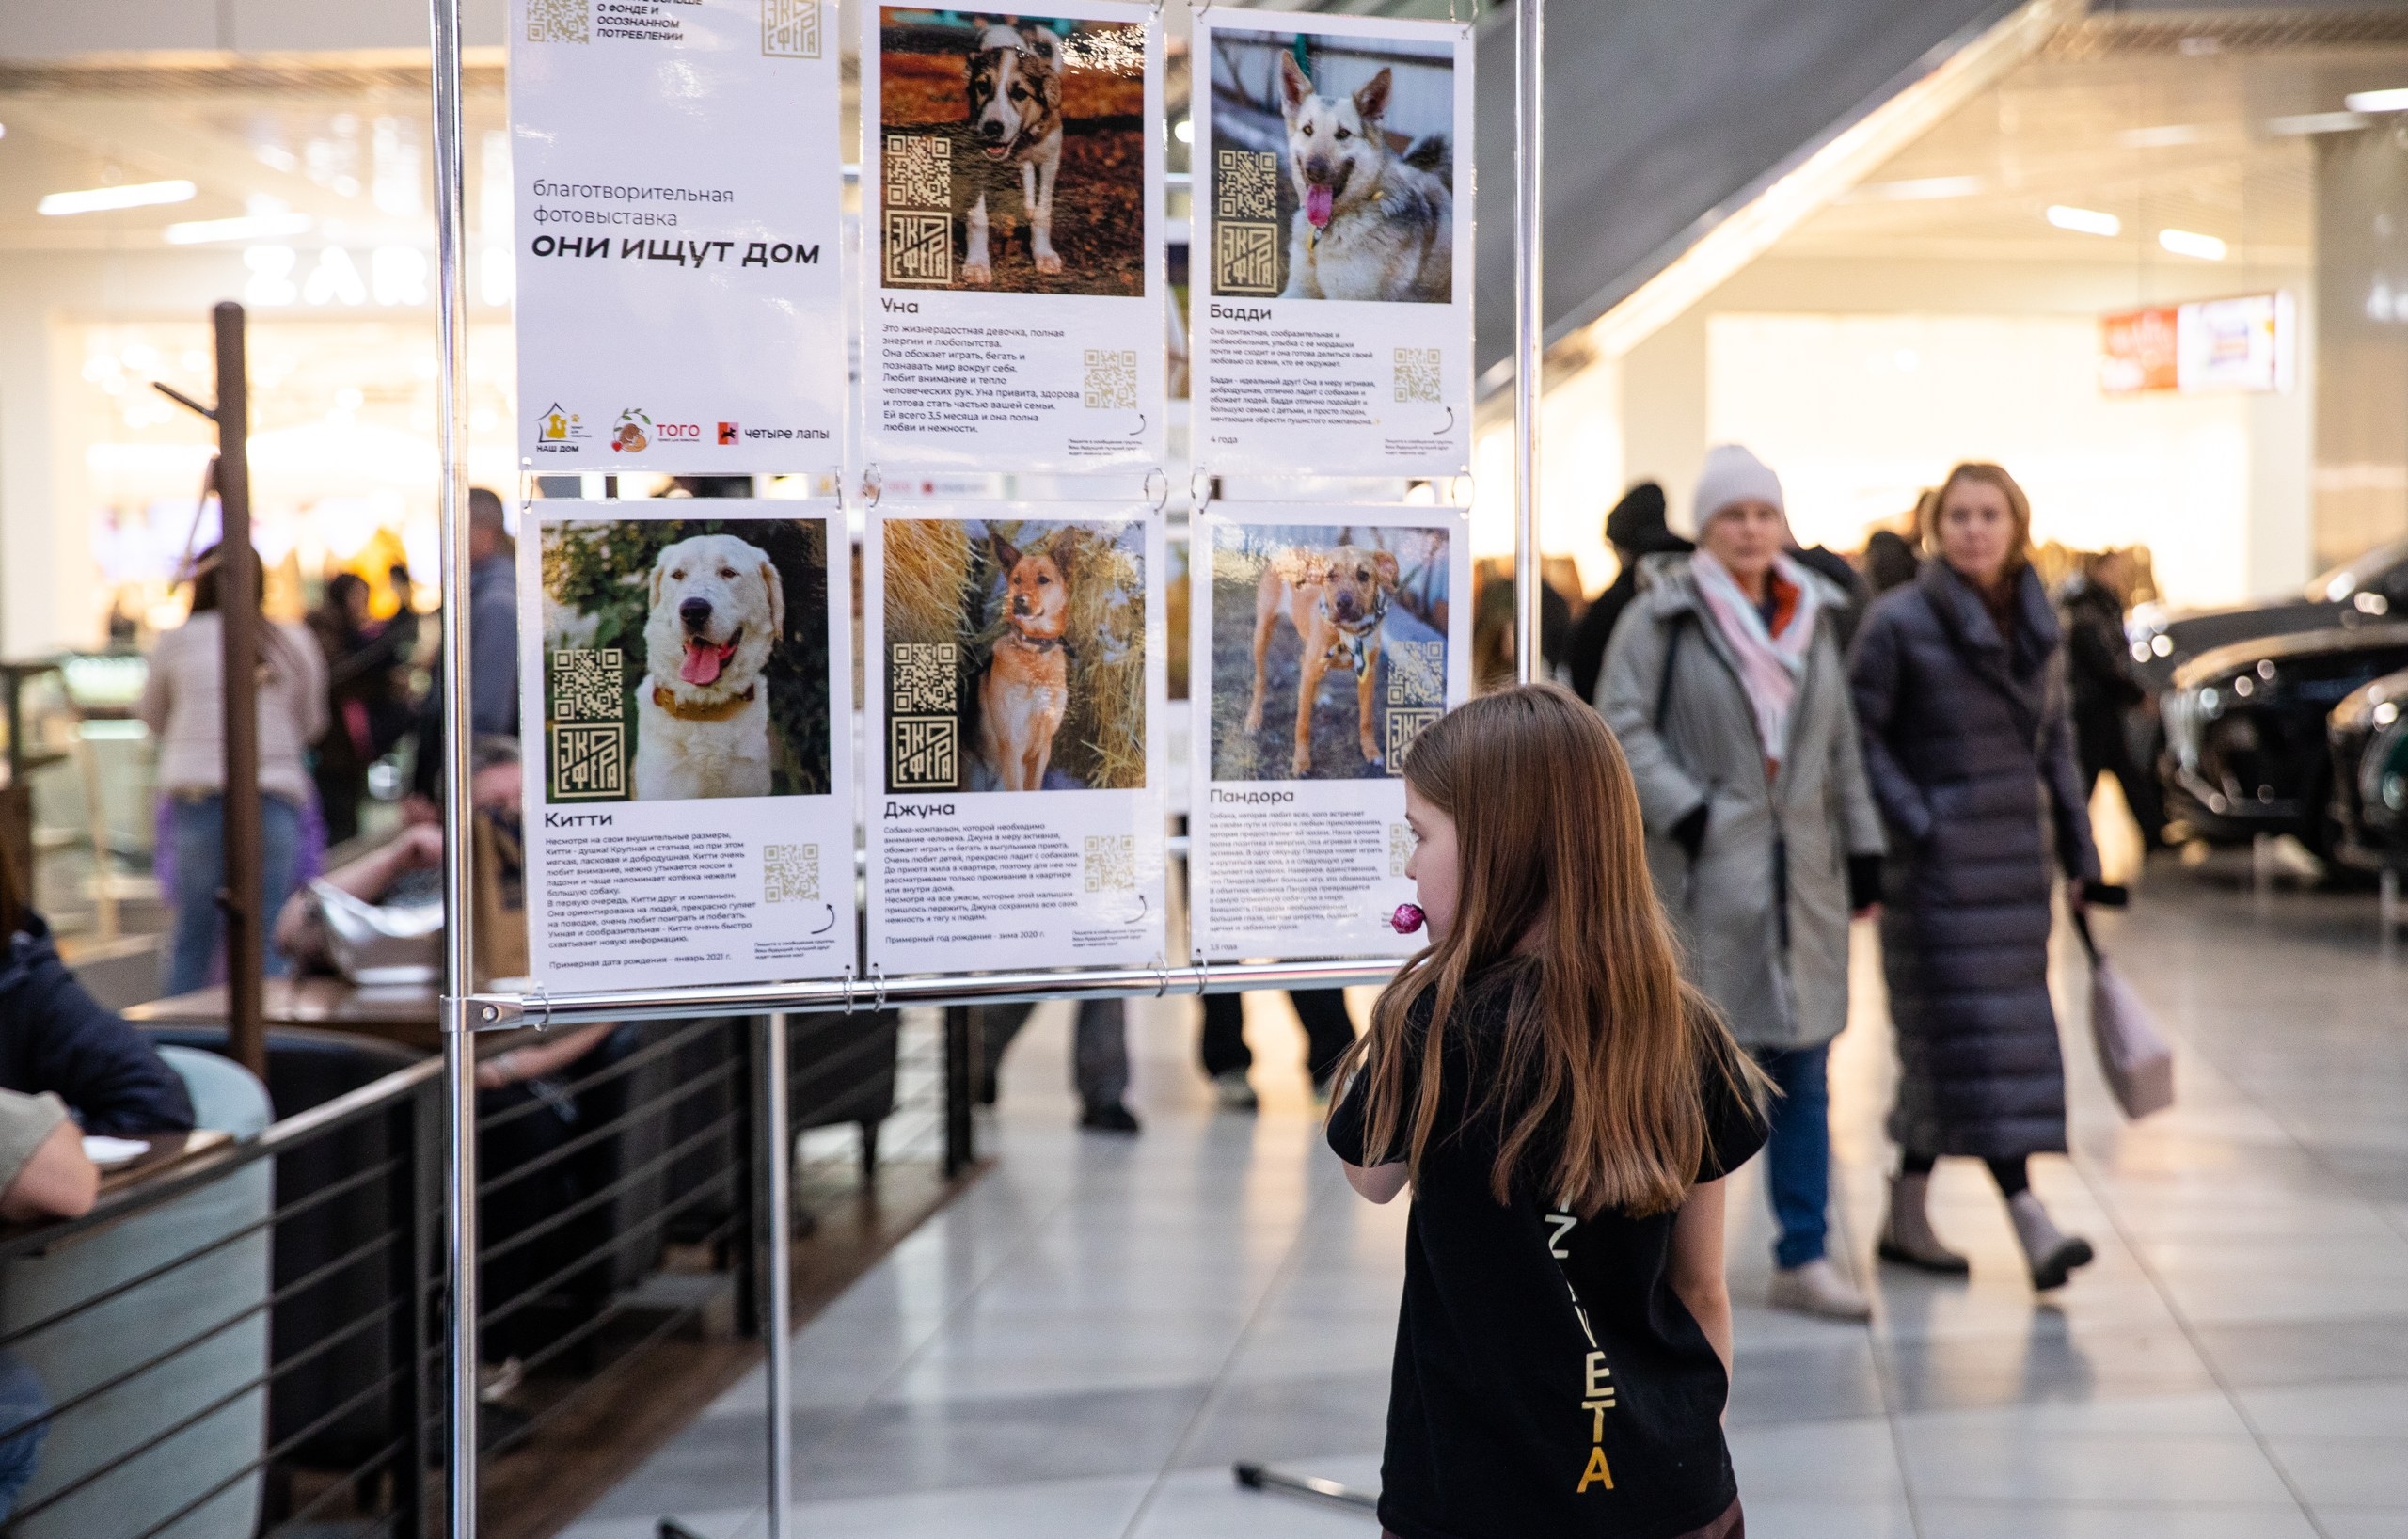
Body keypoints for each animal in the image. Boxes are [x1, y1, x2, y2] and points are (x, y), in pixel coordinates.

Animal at [962, 24, 1066, 285]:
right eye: (982, 86)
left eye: (1020, 94)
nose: (992, 128)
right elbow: (978, 217)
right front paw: (977, 264)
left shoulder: (1050, 158)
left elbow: (1043, 212)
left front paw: (1044, 255)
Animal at [977, 531, 1072, 792]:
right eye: (1017, 580)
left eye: (1043, 580)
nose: (1018, 601)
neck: (1034, 651)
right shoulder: (1011, 746)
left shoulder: (1043, 746)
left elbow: (1034, 786)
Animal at [1246, 544, 1401, 776]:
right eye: (1330, 576)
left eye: (1363, 575)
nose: (1343, 603)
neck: (1348, 632)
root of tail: (1287, 550)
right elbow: (1302, 724)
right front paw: (1301, 761)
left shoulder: (1368, 674)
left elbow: (1366, 719)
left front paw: (1371, 751)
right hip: (1262, 633)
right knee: (1261, 679)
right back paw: (1254, 718)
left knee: (1303, 662)